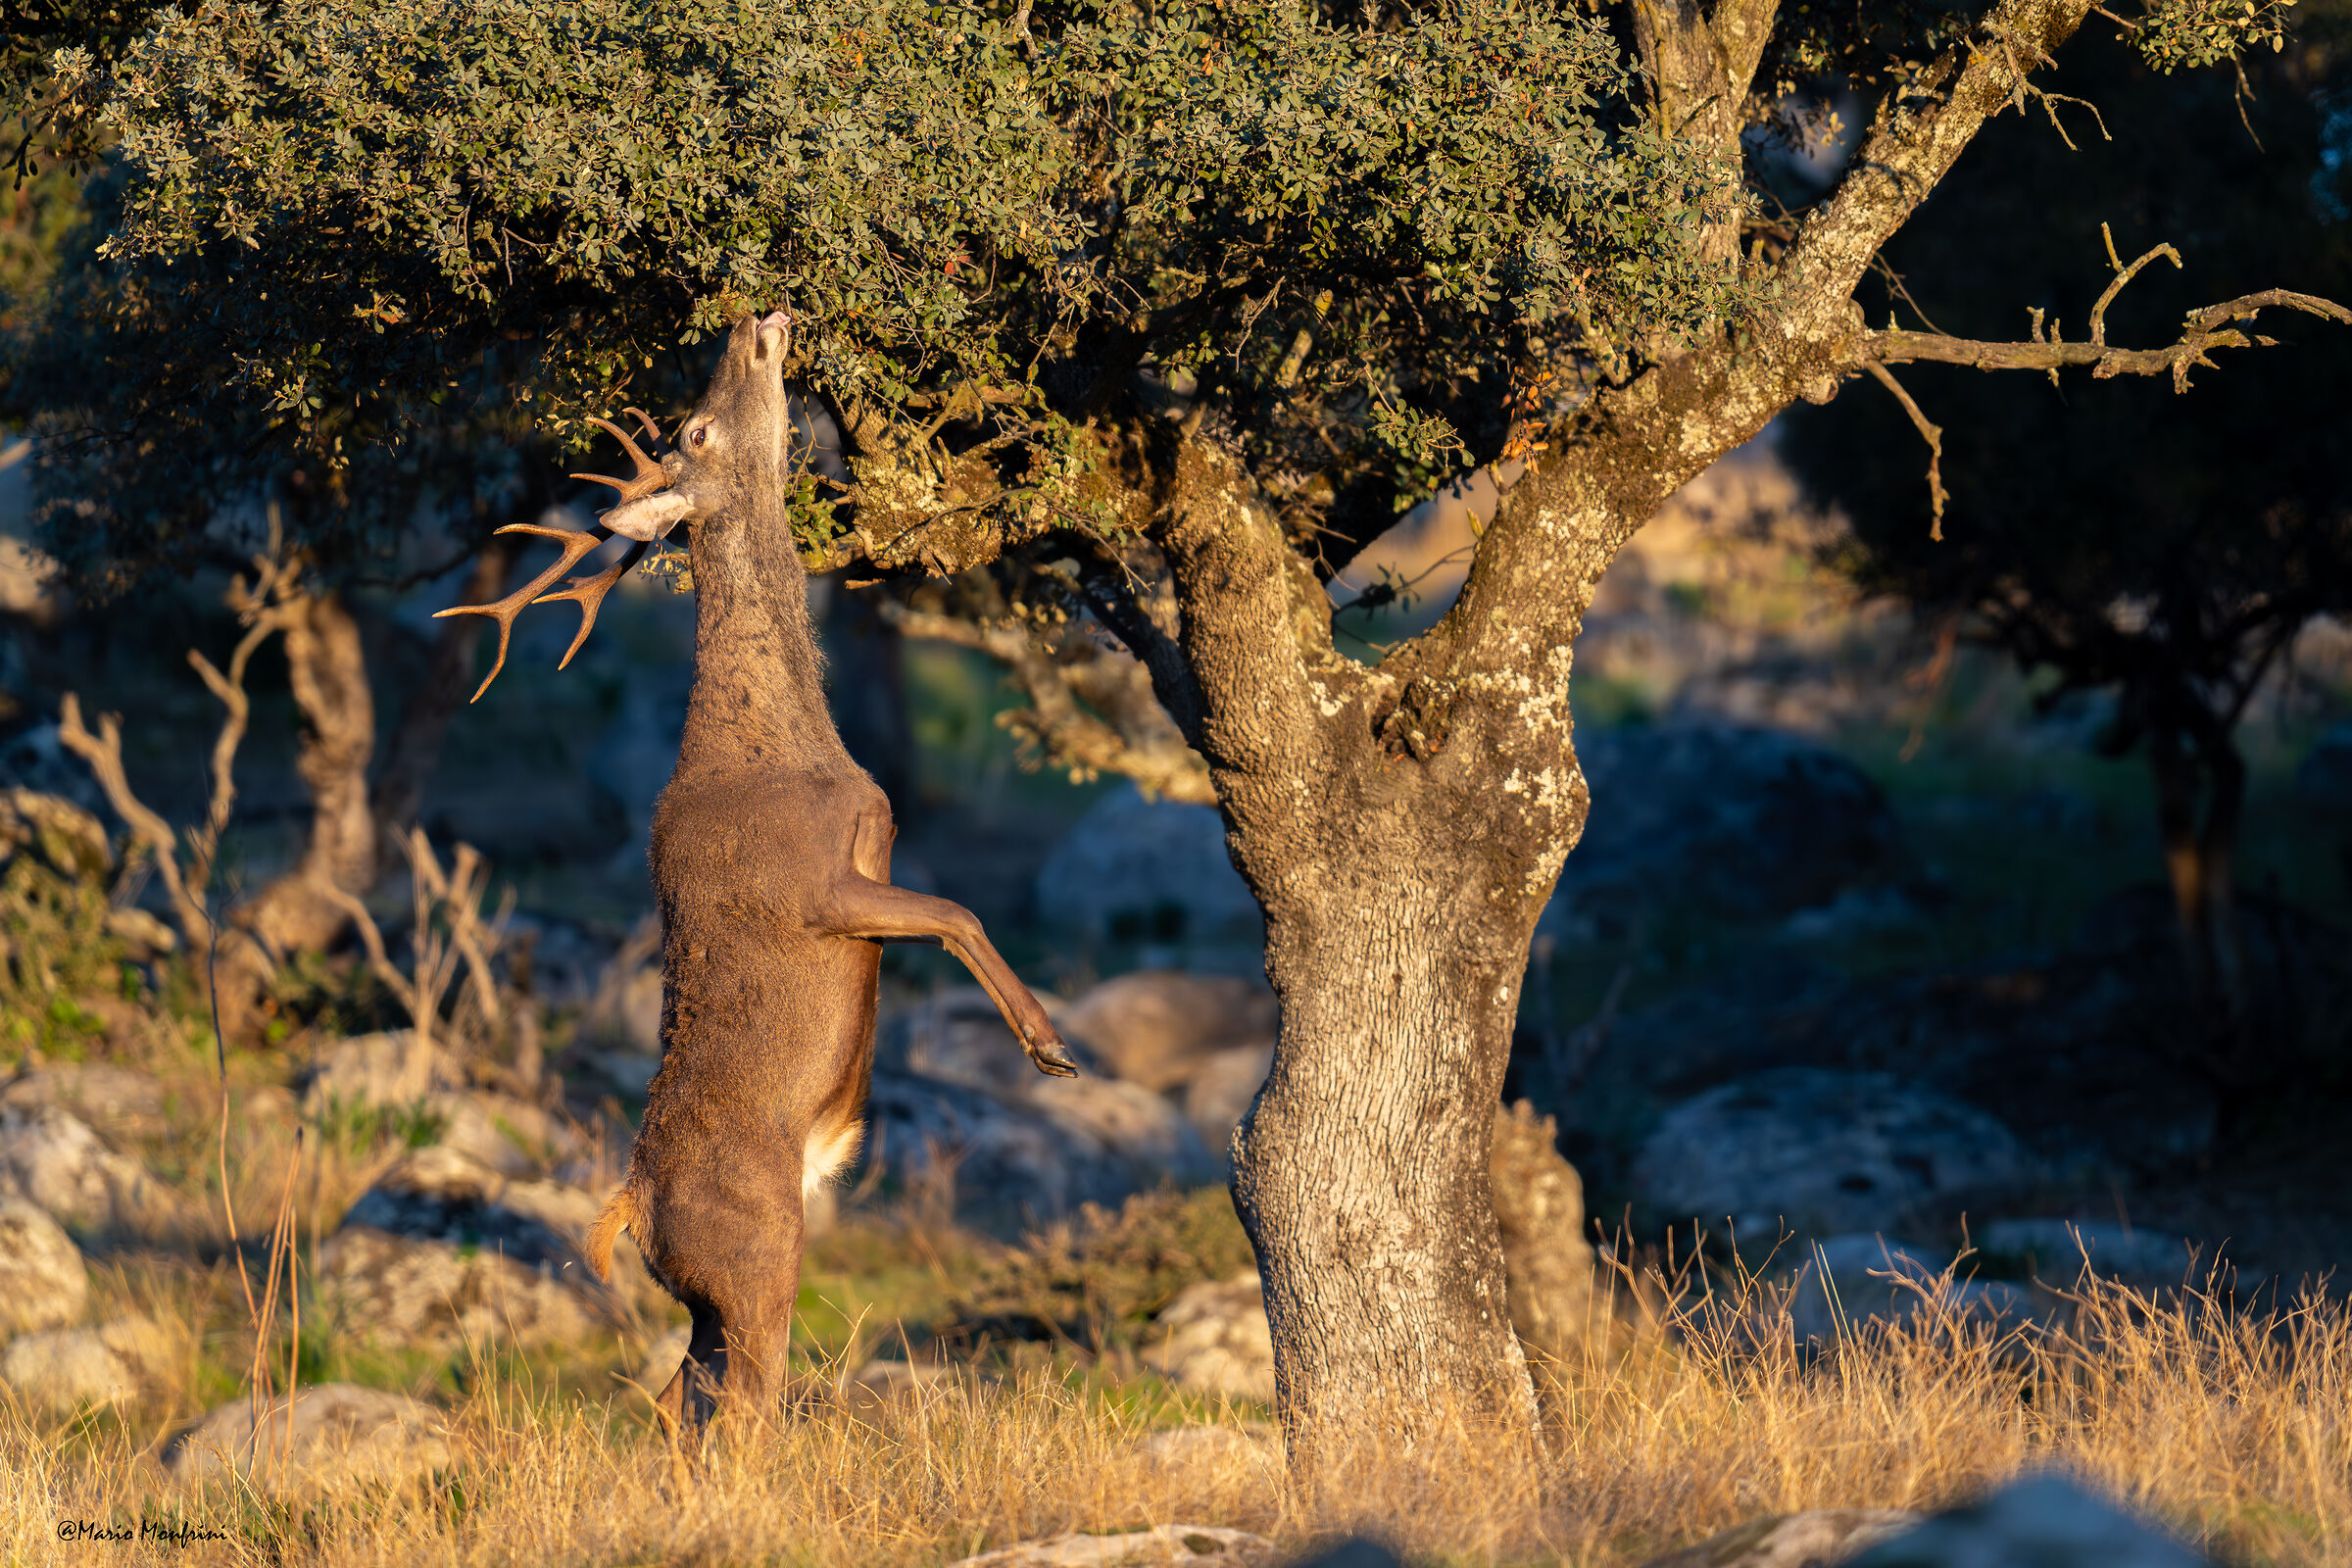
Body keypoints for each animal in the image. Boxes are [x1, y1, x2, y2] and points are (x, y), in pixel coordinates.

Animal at [438, 310, 1078, 1435]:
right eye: (695, 429)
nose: (752, 320)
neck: (779, 744)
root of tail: (632, 1206)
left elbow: (952, 909)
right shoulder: (819, 884)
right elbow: (957, 909)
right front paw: (1048, 1047)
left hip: (707, 1298)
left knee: (676, 1402)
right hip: (761, 1252)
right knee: (744, 1404)